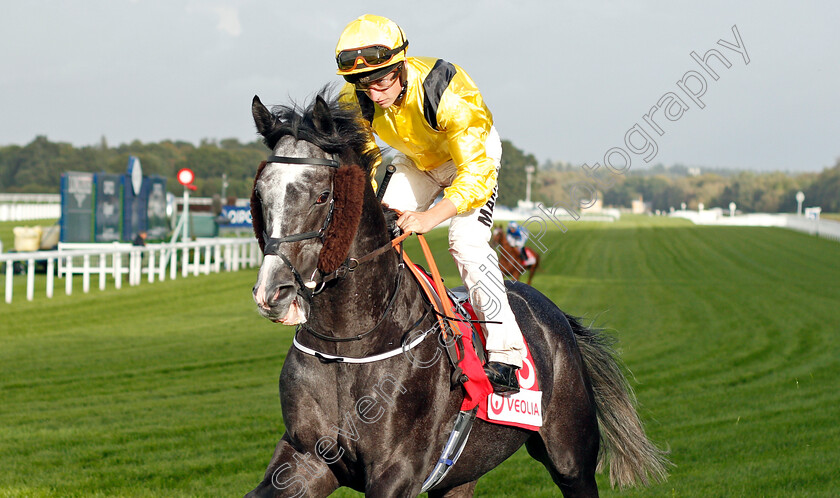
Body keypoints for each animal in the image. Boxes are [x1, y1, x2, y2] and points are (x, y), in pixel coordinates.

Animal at [243, 93, 668, 498]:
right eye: (260, 195)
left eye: (321, 196)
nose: (273, 292)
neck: (346, 343)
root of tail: (555, 314)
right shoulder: (306, 457)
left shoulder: (397, 471)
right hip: (461, 473)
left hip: (571, 455)